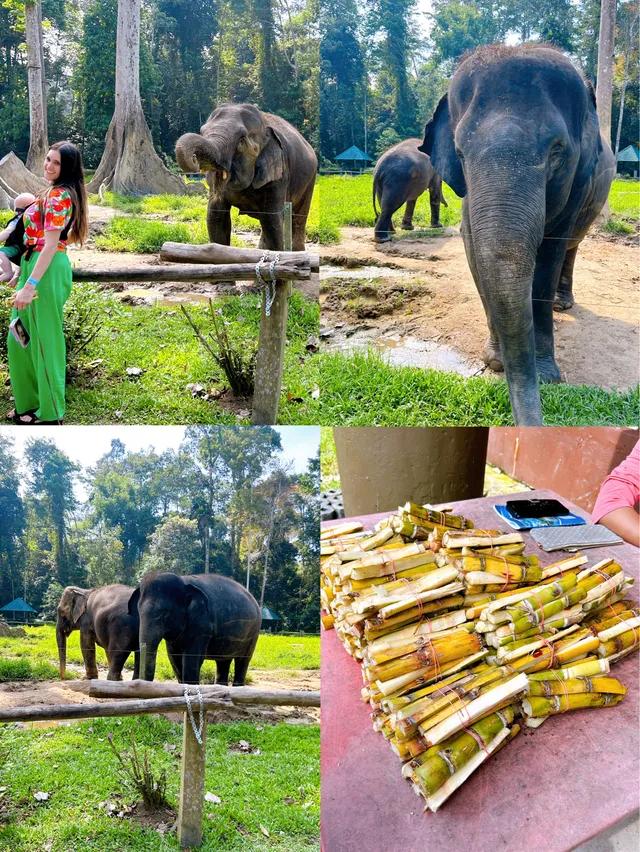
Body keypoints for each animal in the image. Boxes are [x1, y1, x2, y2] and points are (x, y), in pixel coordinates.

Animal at [128, 571, 262, 685]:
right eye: (139, 611)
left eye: (165, 612)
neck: (184, 581)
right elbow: (175, 660)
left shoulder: (202, 625)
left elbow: (191, 660)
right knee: (223, 661)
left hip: (253, 632)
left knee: (242, 661)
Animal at [175, 103, 318, 251]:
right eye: (202, 131)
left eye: (241, 140)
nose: (194, 158)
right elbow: (216, 216)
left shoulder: (279, 175)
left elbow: (272, 220)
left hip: (310, 179)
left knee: (298, 218)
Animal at [420, 44, 614, 426]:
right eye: (460, 152)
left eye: (557, 151)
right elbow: (474, 249)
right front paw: (495, 361)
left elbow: (548, 257)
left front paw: (546, 375)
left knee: (572, 247)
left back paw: (562, 303)